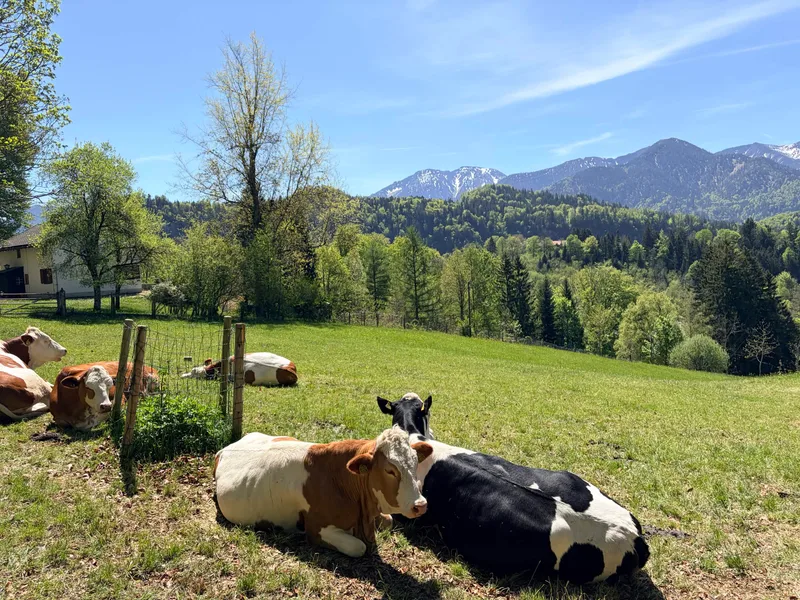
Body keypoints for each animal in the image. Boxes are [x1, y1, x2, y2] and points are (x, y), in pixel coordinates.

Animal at [213, 426, 433, 558]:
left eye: (415, 462)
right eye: (389, 470)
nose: (420, 505)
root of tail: (228, 447)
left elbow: (388, 520)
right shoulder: (316, 529)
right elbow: (358, 547)